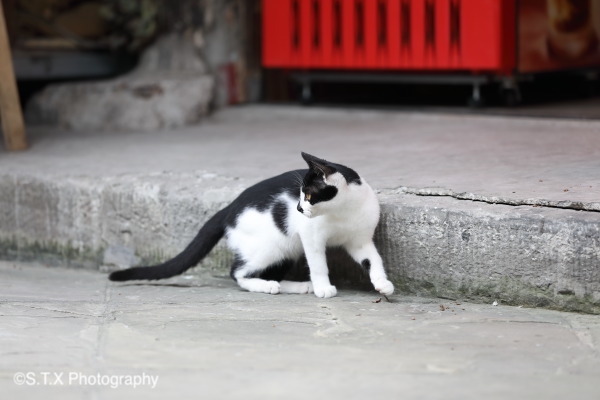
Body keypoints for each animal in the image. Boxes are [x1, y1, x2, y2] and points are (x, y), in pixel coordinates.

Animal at [109, 153, 394, 300]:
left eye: (309, 195)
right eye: (301, 195)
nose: (298, 209)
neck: (343, 212)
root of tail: (228, 208)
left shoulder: (360, 240)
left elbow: (373, 260)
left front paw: (382, 284)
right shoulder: (310, 237)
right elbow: (318, 264)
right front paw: (324, 287)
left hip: (286, 251)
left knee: (270, 272)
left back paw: (293, 286)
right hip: (271, 246)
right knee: (237, 272)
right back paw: (267, 286)